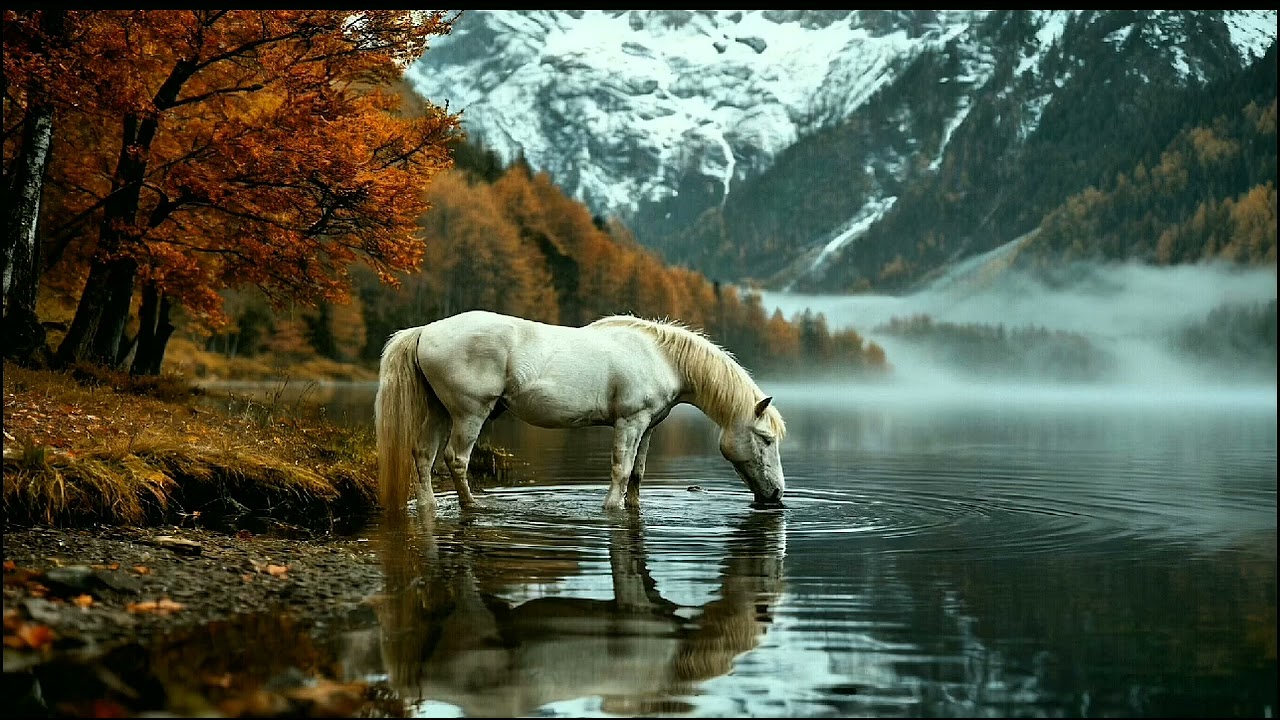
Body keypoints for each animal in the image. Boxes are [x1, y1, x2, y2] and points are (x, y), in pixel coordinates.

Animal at [374, 309, 787, 513]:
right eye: (765, 439)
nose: (777, 495)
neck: (661, 357)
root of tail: (426, 330)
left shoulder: (649, 426)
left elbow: (637, 475)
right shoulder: (629, 422)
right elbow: (621, 470)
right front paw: (611, 509)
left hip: (439, 412)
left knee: (423, 456)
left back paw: (428, 505)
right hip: (468, 413)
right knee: (455, 460)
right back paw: (473, 505)